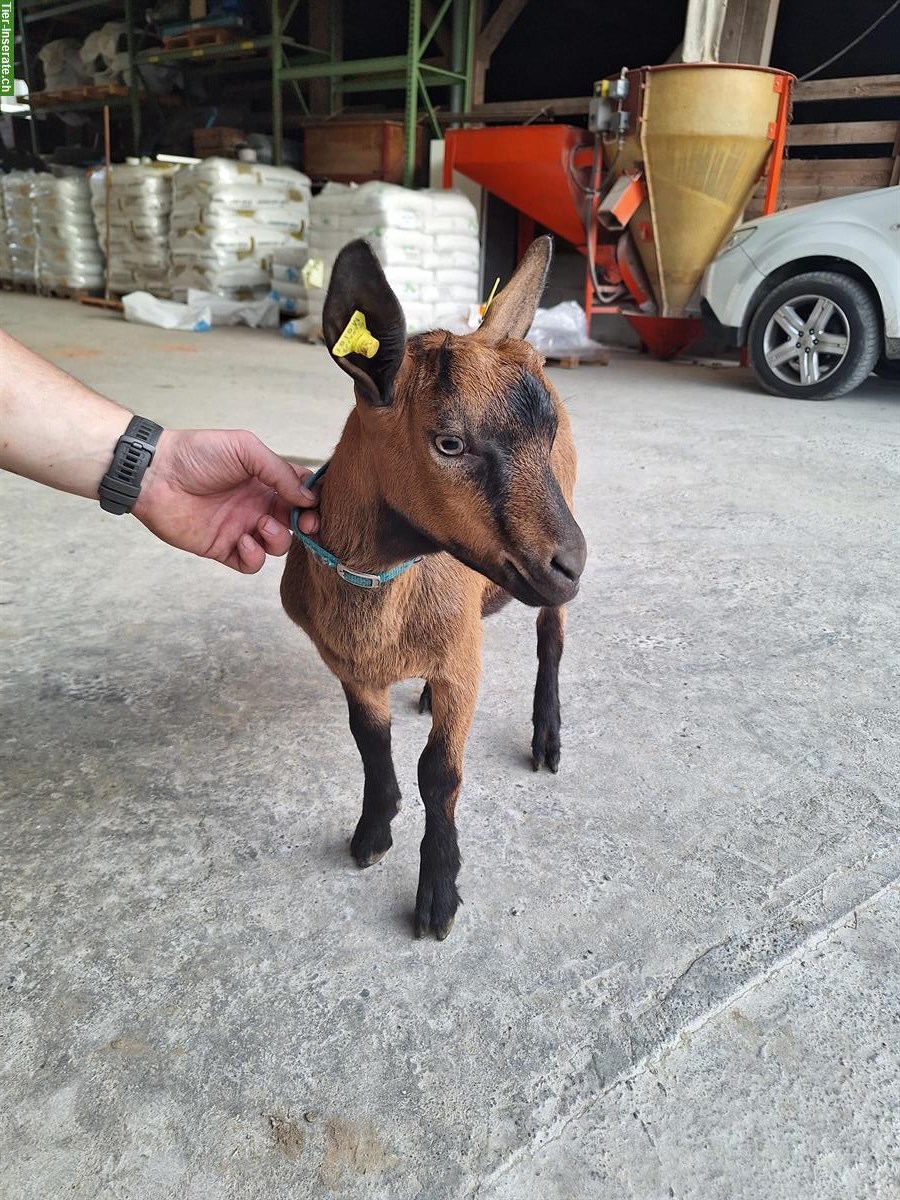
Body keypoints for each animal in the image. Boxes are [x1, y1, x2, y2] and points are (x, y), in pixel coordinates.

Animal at [283, 236, 592, 936]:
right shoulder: (348, 664)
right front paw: (372, 832)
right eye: (450, 443)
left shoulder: (462, 666)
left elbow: (440, 774)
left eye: (547, 435)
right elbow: (369, 742)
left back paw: (547, 736)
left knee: (551, 640)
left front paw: (437, 895)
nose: (572, 563)